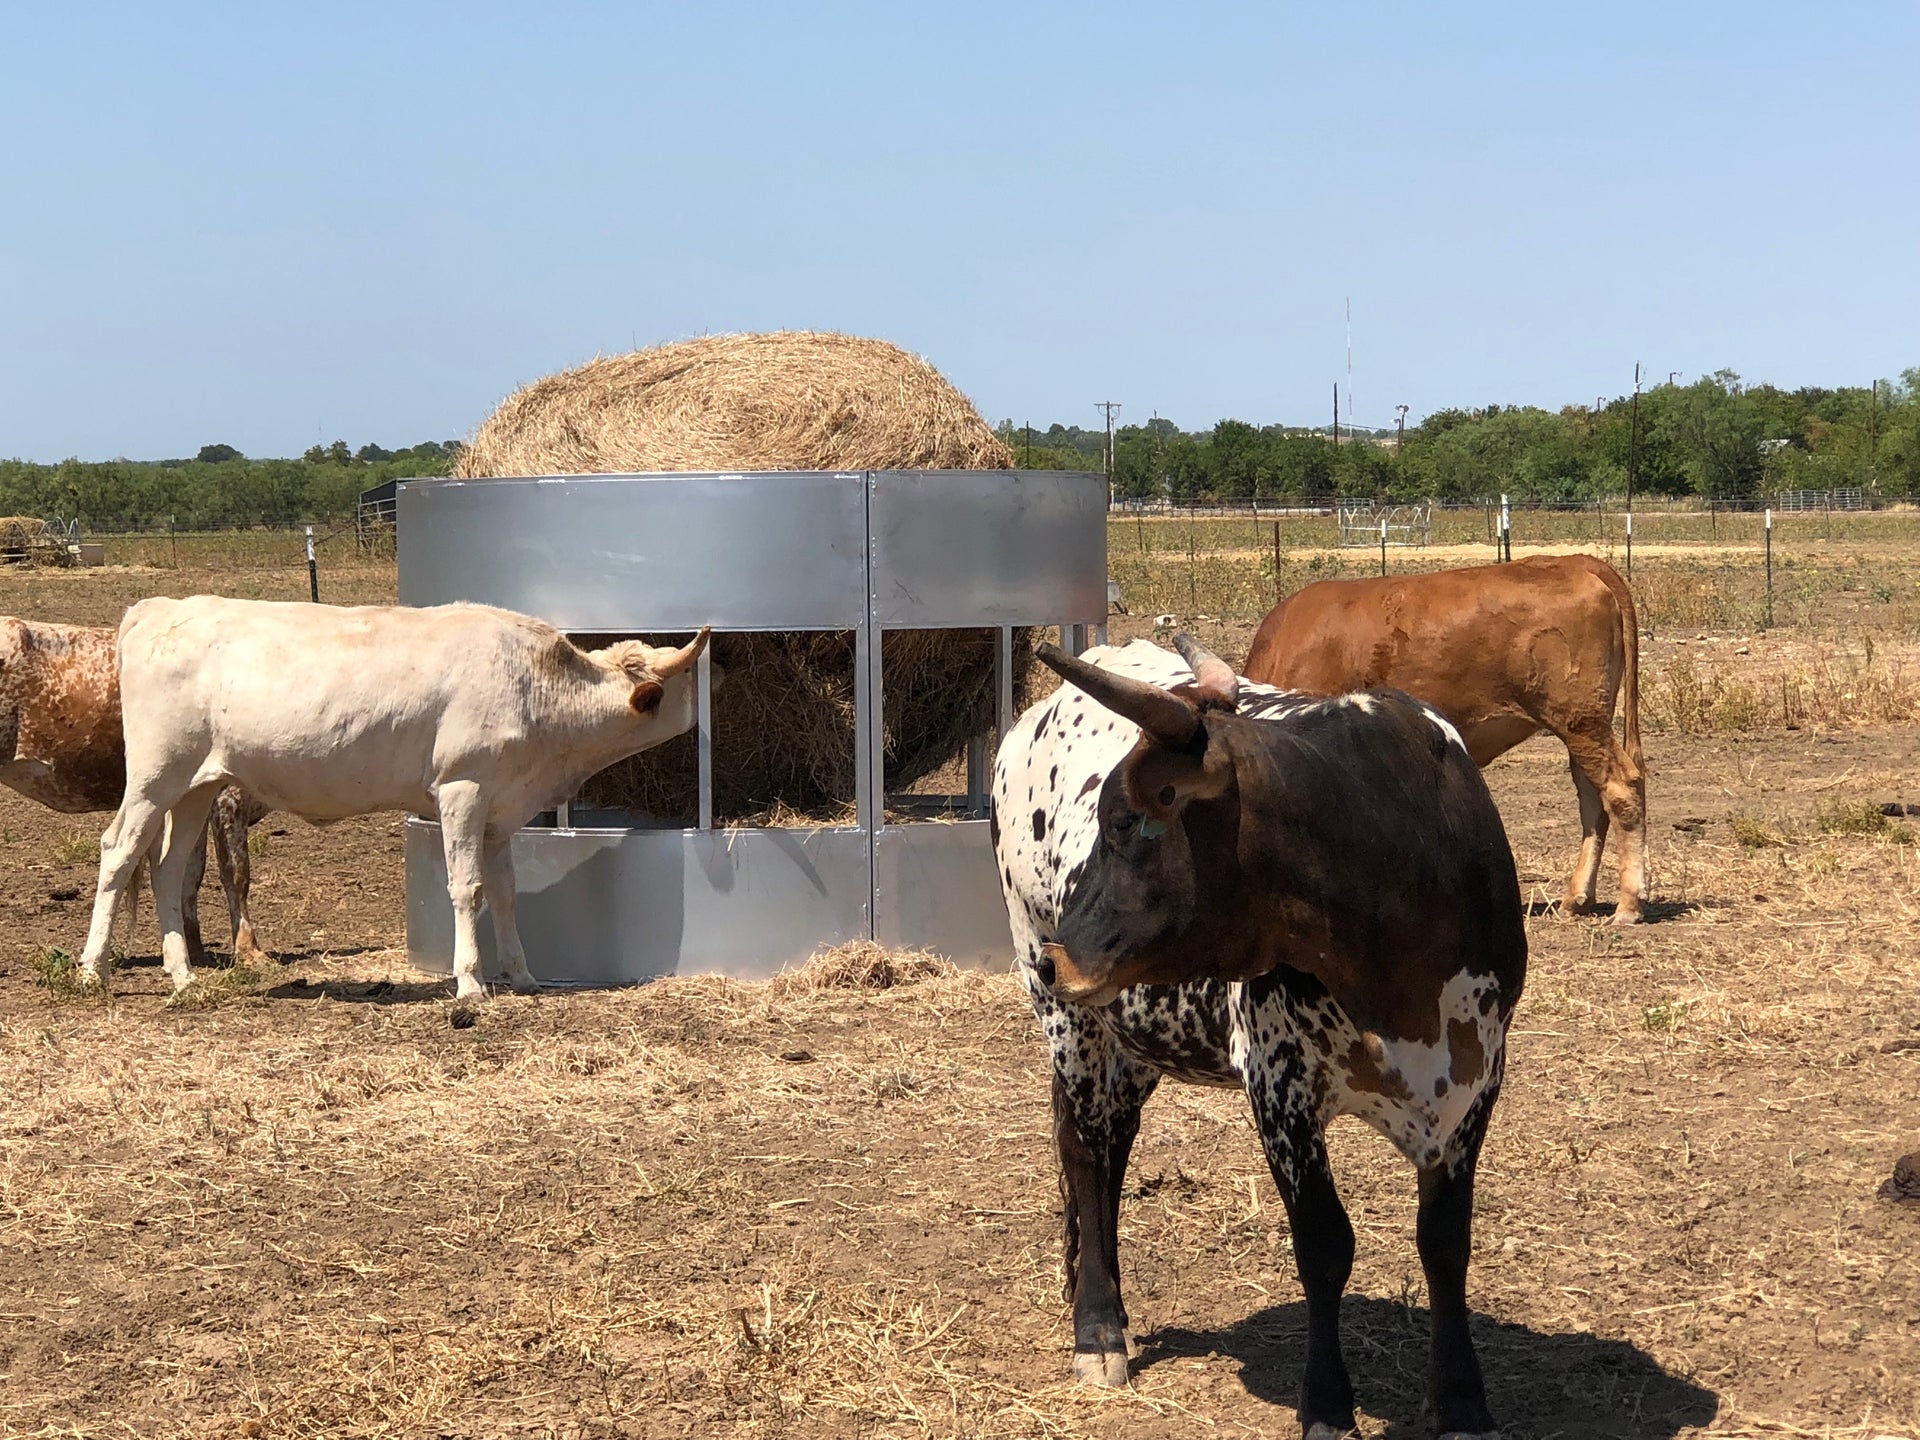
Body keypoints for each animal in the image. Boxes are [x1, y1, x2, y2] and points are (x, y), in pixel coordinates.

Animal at [0, 616, 265, 962]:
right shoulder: (228, 796)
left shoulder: (194, 798)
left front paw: (192, 946)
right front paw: (250, 950)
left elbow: (189, 872)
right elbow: (236, 871)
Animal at [73, 599, 712, 999]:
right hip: (155, 774)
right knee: (118, 851)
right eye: (683, 682)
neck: (537, 688)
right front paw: (471, 982)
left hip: (196, 785)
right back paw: (92, 971)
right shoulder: (462, 788)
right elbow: (467, 888)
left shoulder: (500, 813)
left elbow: (505, 893)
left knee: (167, 866)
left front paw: (525, 976)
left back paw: (182, 976)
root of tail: (156, 608)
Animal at [993, 636, 1526, 1439]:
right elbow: (1325, 1246)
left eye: (1123, 822)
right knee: (1086, 1153)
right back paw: (1100, 1330)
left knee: (1111, 1149)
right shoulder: (1281, 1086)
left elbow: (1445, 1243)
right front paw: (1328, 1406)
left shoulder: (1477, 1079)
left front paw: (1463, 1401)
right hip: (1071, 1020)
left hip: (1137, 1030)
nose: (1061, 961)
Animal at [1243, 554, 1647, 923]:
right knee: (1593, 799)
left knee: (1620, 789)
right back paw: (1578, 899)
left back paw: (1629, 905)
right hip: (1583, 725)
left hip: (1580, 720)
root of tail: (1574, 561)